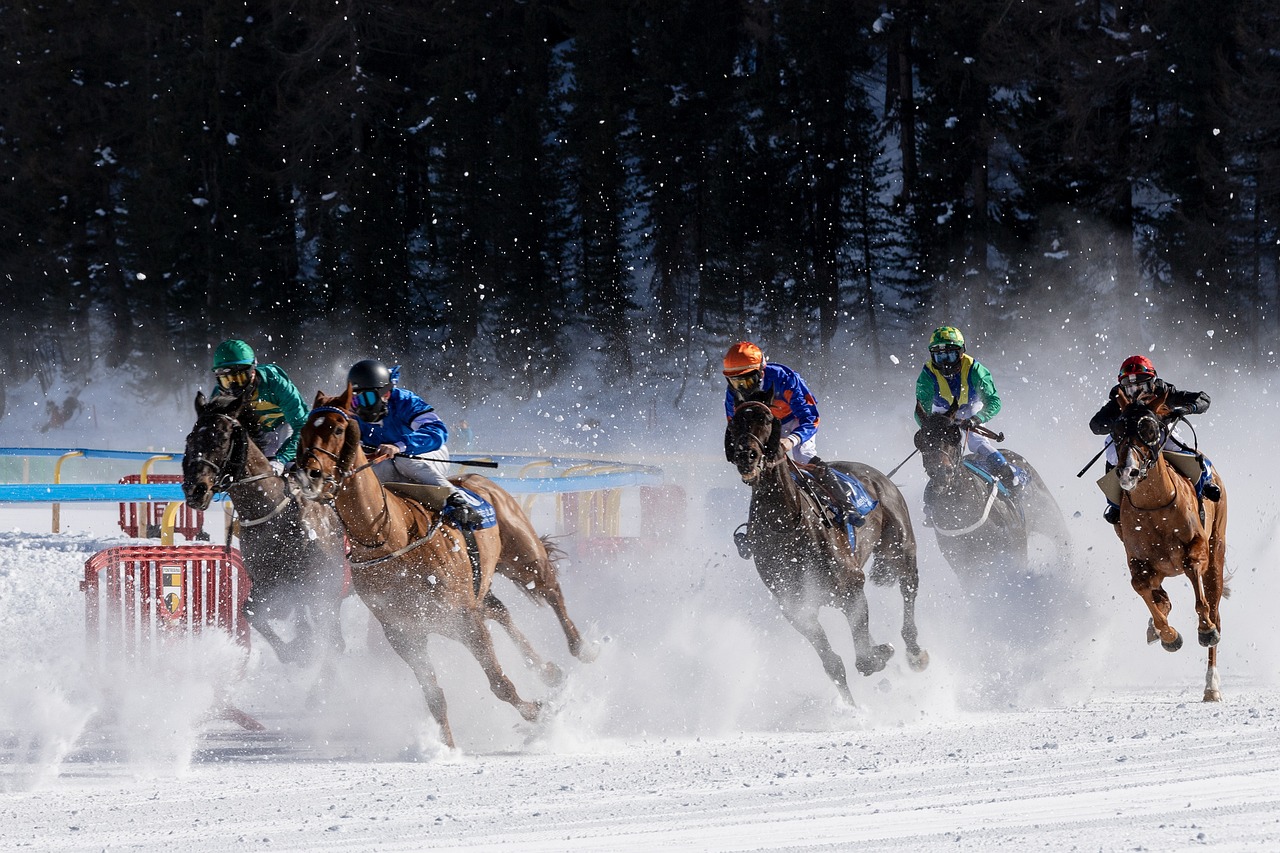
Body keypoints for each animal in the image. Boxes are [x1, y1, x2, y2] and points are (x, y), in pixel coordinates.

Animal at [181, 389, 350, 666]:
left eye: (223, 437)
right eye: (191, 437)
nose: (195, 489)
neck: (272, 514)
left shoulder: (324, 585)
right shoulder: (268, 581)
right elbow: (250, 610)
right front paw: (295, 650)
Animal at [290, 384, 588, 742]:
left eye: (336, 428)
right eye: (304, 430)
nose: (307, 474)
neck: (390, 537)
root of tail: (478, 480)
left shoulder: (465, 620)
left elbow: (499, 682)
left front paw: (539, 713)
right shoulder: (404, 634)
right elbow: (434, 697)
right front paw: (447, 745)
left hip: (523, 557)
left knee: (551, 590)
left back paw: (582, 648)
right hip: (480, 587)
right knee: (501, 611)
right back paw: (547, 670)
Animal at [727, 389, 926, 701]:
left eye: (766, 419)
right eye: (735, 421)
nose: (746, 455)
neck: (786, 528)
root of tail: (879, 476)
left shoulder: (851, 588)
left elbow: (864, 660)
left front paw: (882, 653)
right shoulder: (798, 610)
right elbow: (834, 665)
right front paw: (853, 709)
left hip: (901, 546)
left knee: (909, 587)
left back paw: (915, 652)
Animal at [911, 407, 1070, 584]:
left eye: (953, 435)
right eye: (921, 440)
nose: (940, 472)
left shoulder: (1016, 549)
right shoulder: (965, 569)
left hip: (1048, 514)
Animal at [1111, 391, 1228, 696]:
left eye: (1150, 429)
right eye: (1116, 431)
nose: (1128, 472)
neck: (1155, 507)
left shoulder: (1197, 546)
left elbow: (1194, 574)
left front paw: (1205, 630)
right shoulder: (1139, 560)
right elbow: (1141, 586)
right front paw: (1168, 634)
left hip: (1217, 548)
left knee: (1215, 608)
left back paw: (1211, 685)